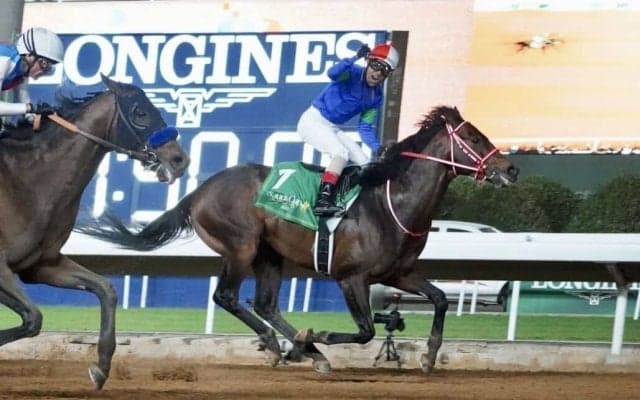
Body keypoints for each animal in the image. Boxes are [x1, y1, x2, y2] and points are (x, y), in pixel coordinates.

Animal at [0, 75, 189, 390]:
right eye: (141, 112)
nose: (180, 160)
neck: (26, 184)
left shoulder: (42, 265)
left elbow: (106, 290)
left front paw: (100, 368)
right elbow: (33, 318)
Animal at [78, 105, 518, 374]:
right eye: (474, 138)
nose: (510, 169)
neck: (392, 204)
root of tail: (200, 190)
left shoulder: (398, 273)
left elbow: (440, 299)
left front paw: (428, 356)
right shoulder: (351, 277)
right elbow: (366, 331)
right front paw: (317, 336)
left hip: (269, 255)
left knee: (265, 303)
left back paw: (303, 351)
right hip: (241, 246)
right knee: (228, 297)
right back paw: (288, 345)